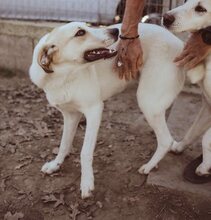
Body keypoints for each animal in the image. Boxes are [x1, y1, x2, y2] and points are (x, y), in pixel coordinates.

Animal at [29, 21, 199, 198]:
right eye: (80, 32)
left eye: (86, 27)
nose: (116, 31)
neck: (64, 77)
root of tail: (180, 43)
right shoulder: (70, 115)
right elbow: (64, 144)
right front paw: (56, 164)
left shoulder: (94, 110)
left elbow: (85, 152)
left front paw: (87, 182)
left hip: (148, 102)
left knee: (166, 140)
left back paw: (148, 166)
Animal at [163, 0, 211, 175]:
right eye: (186, 1)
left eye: (201, 9)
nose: (165, 17)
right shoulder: (207, 105)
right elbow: (193, 130)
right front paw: (180, 146)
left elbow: (206, 138)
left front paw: (204, 167)